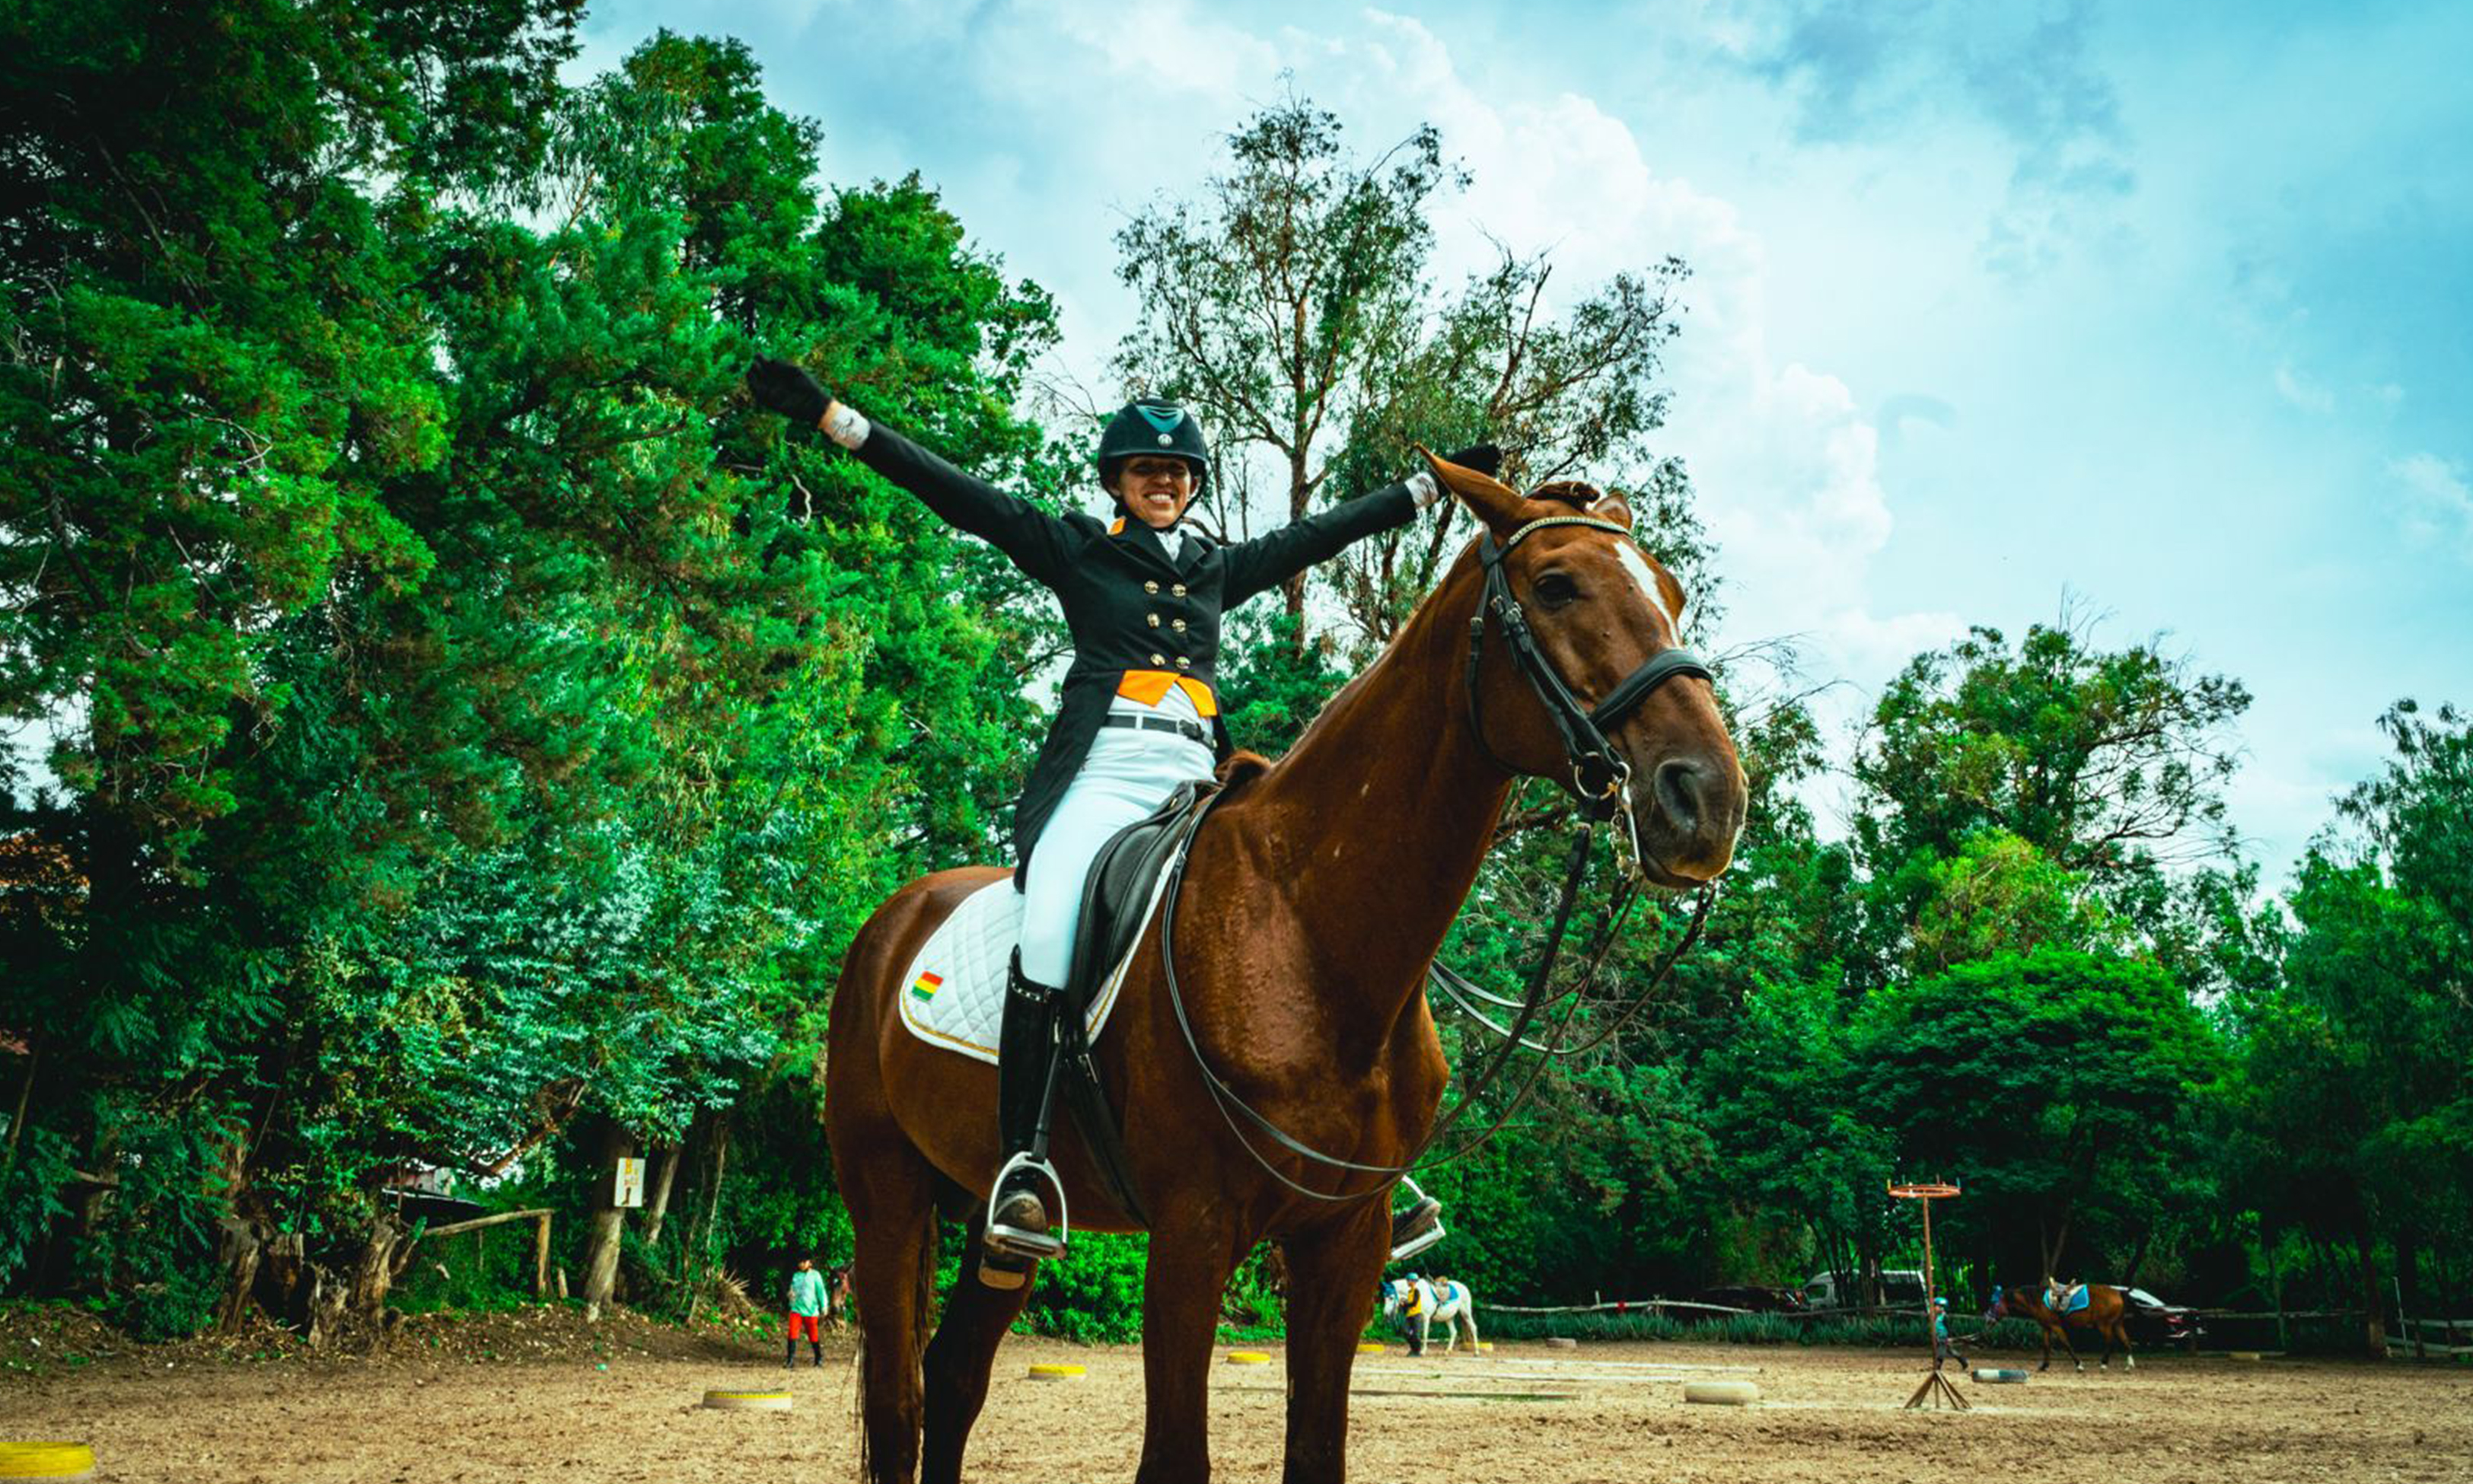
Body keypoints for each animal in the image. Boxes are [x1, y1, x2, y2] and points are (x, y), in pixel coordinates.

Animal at [1381, 1276, 1482, 1356]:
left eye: (1391, 1298)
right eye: (1384, 1298)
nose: (1386, 1315)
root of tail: (1464, 1287)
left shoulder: (1426, 1318)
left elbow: (1425, 1335)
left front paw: (1423, 1352)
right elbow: (1411, 1333)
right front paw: (1413, 1351)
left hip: (1466, 1313)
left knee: (1473, 1328)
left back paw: (1476, 1352)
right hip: (1449, 1317)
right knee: (1454, 1332)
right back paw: (1447, 1351)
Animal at [1989, 1284, 2137, 1372]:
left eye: (1993, 1303)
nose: (1988, 1320)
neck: (2038, 1300)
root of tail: (2118, 1293)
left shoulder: (2056, 1326)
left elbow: (2067, 1345)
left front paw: (2079, 1365)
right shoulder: (2046, 1327)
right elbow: (2046, 1346)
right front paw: (2044, 1366)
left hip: (2104, 1325)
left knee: (2110, 1342)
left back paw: (2104, 1364)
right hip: (2117, 1325)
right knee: (2127, 1342)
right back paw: (2129, 1365)